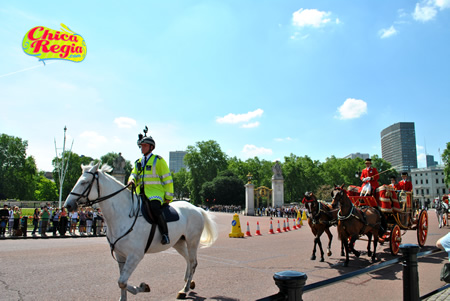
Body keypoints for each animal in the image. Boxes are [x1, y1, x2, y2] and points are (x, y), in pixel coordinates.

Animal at [63, 163, 218, 298]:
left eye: (84, 182)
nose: (67, 205)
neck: (122, 215)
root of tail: (196, 208)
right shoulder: (120, 255)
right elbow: (122, 282)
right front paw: (125, 297)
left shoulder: (135, 256)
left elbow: (122, 282)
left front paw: (143, 287)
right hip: (178, 242)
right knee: (188, 260)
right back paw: (188, 282)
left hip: (192, 241)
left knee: (193, 261)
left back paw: (184, 289)